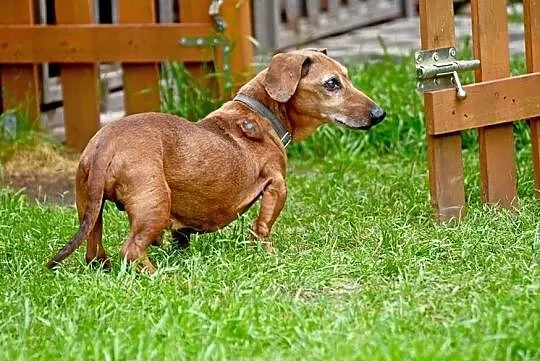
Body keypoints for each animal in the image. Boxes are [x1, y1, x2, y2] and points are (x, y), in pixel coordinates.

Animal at [45, 49, 384, 272]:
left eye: (346, 77)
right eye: (331, 83)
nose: (380, 114)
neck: (259, 114)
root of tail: (106, 143)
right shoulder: (276, 185)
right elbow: (262, 226)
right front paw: (267, 253)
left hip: (90, 205)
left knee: (93, 248)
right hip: (154, 202)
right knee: (131, 249)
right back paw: (160, 277)